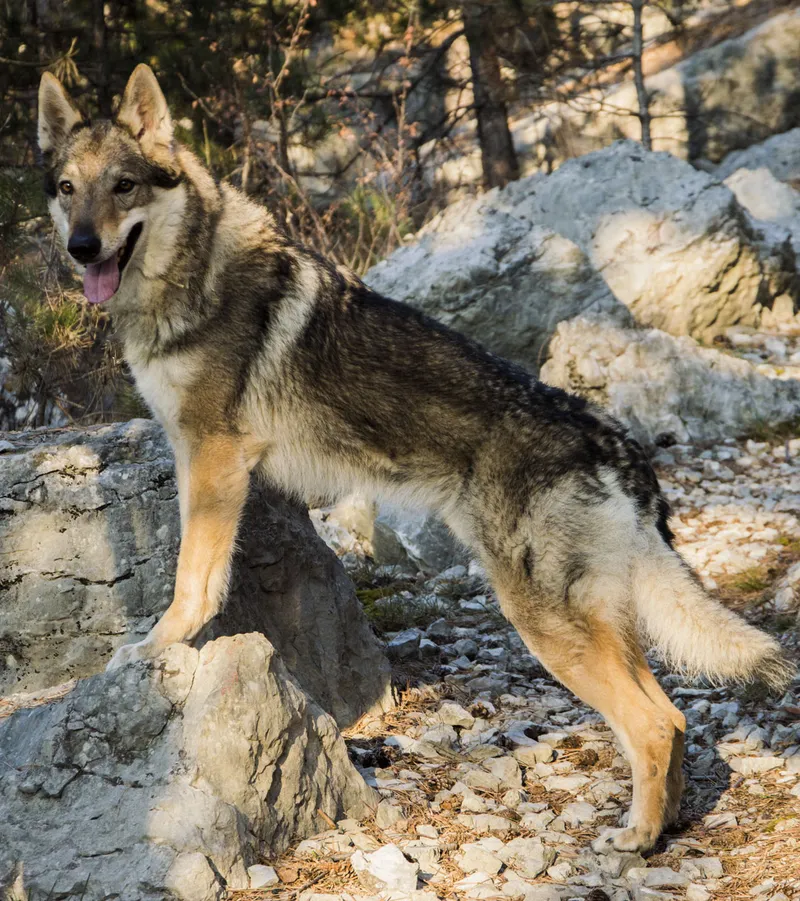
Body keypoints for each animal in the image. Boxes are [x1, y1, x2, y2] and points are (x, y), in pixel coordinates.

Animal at [38, 64, 793, 853]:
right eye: (67, 187)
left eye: (124, 185)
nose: (83, 247)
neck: (191, 276)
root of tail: (617, 445)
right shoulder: (228, 469)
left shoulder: (212, 456)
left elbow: (193, 580)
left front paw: (158, 646)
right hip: (595, 623)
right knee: (672, 716)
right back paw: (663, 826)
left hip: (547, 628)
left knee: (653, 722)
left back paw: (637, 838)